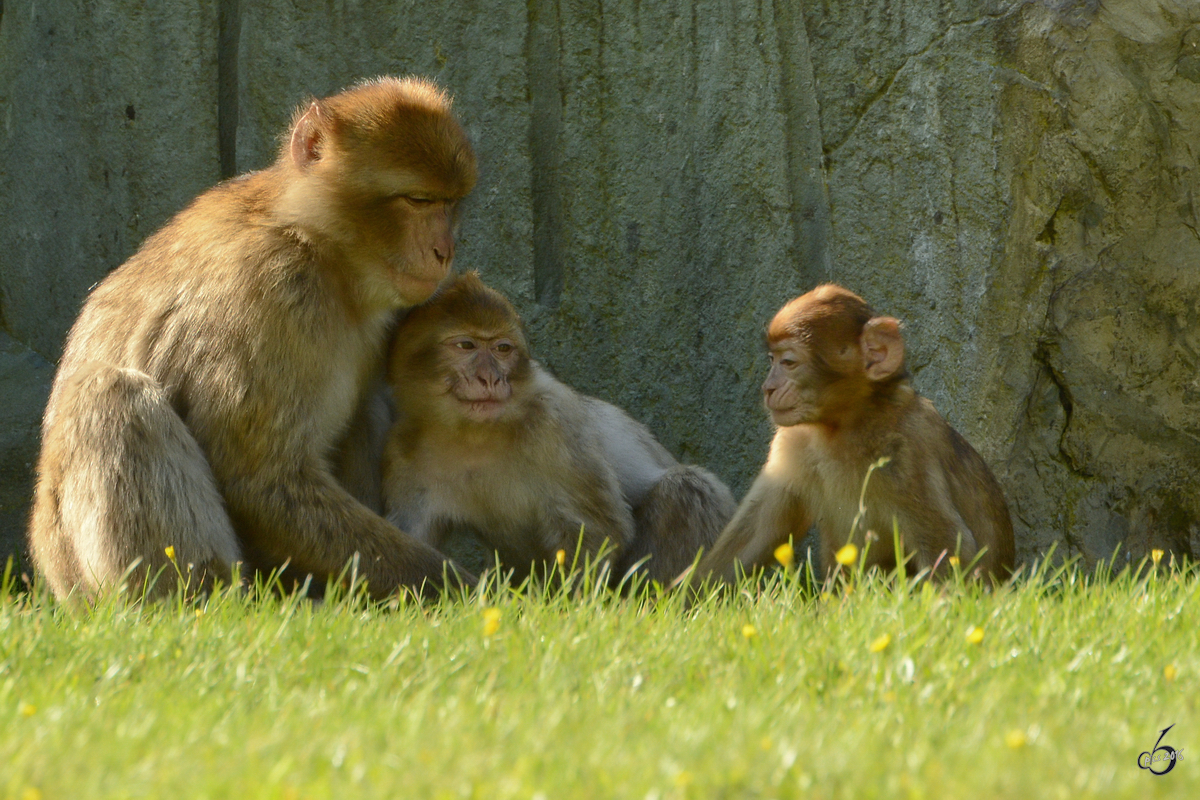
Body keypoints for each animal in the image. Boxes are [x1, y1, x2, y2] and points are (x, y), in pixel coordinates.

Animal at [28, 76, 477, 599]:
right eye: (418, 201)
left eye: (449, 203)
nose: (445, 250)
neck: (319, 245)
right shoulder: (271, 290)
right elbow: (260, 481)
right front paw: (472, 588)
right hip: (81, 574)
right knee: (113, 393)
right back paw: (207, 600)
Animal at [379, 272, 734, 585]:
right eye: (466, 346)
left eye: (502, 349)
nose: (491, 378)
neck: (473, 435)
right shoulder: (403, 446)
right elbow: (410, 536)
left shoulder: (554, 423)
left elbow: (598, 530)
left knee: (686, 488)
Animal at [691, 284, 1017, 585]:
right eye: (772, 359)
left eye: (788, 362)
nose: (768, 388)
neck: (845, 425)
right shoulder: (794, 440)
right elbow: (760, 528)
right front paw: (687, 597)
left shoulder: (906, 452)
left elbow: (948, 546)